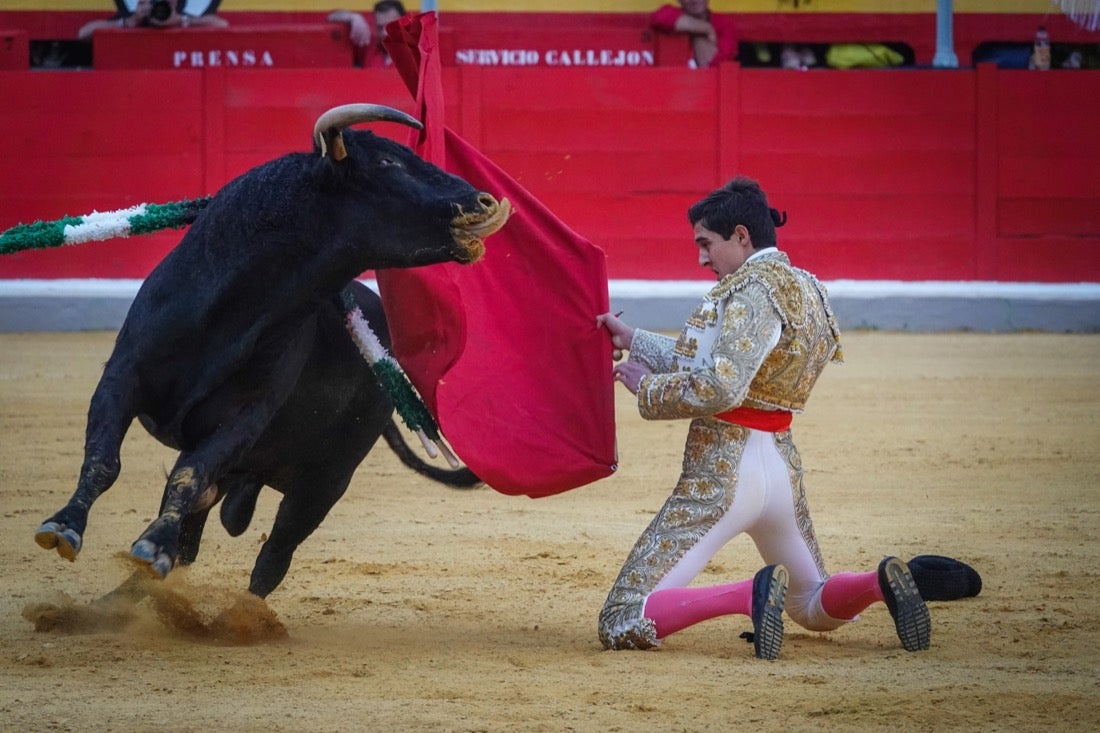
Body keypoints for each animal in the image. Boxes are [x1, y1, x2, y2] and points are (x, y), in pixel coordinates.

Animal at [33, 101, 510, 594]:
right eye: (388, 162)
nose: (485, 201)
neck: (235, 309)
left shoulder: (245, 417)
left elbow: (188, 478)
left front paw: (151, 548)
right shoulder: (122, 376)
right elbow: (104, 459)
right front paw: (64, 526)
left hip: (325, 481)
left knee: (272, 554)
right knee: (201, 524)